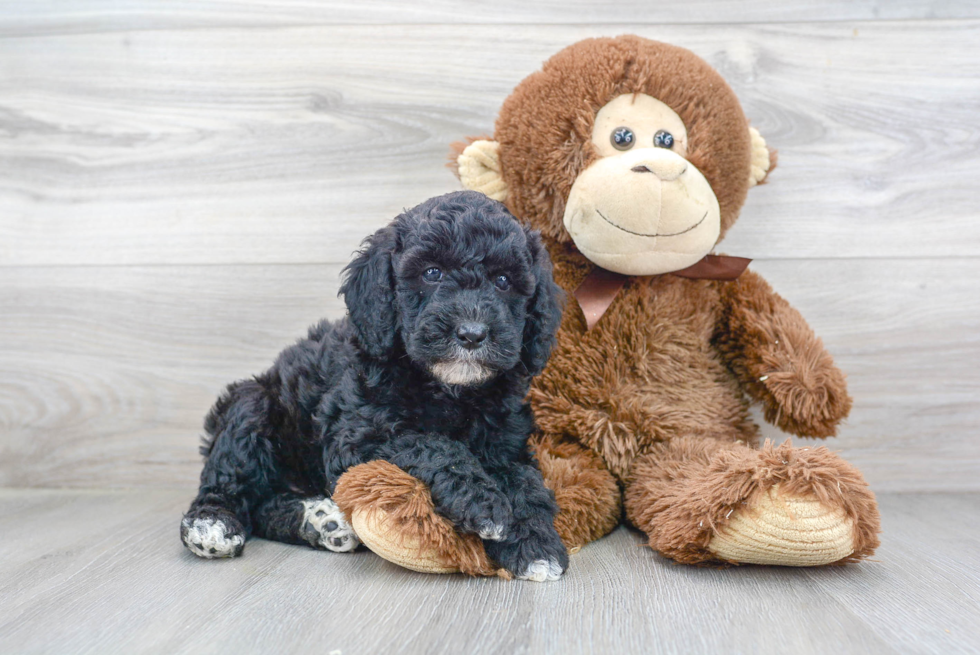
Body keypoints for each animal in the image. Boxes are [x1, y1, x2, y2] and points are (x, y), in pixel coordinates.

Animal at [180, 192, 572, 580]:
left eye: (503, 281)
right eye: (432, 273)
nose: (472, 333)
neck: (450, 390)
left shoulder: (506, 444)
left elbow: (525, 482)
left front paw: (535, 543)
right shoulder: (357, 437)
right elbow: (432, 445)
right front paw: (482, 501)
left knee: (263, 508)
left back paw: (321, 521)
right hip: (252, 406)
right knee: (229, 482)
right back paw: (211, 524)